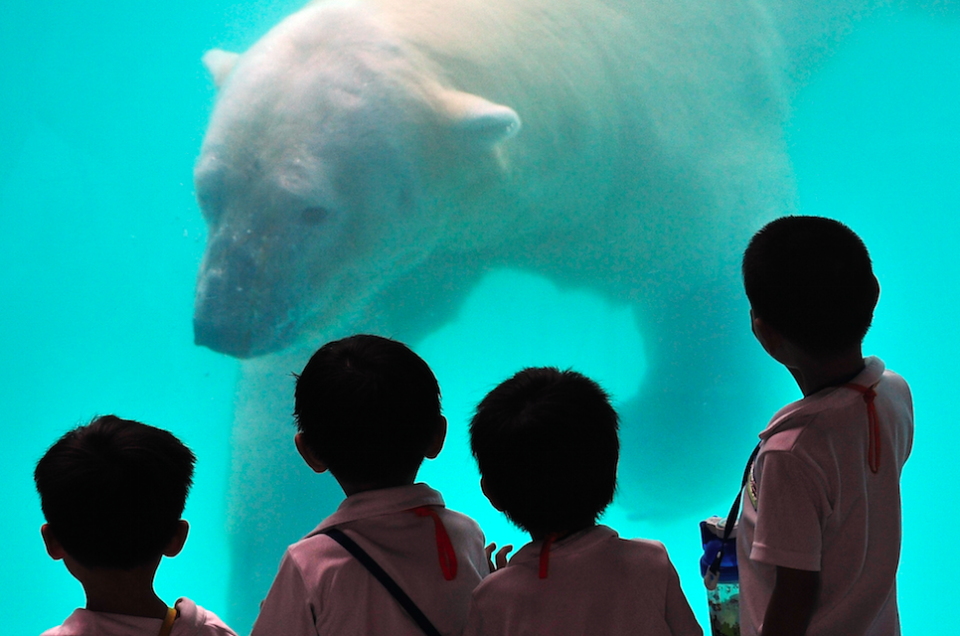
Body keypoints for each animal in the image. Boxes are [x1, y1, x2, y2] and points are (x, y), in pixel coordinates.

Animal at [195, 0, 884, 628]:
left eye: (312, 207)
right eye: (208, 189)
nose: (222, 323)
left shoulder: (664, 142)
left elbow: (706, 275)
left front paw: (661, 466)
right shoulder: (429, 251)